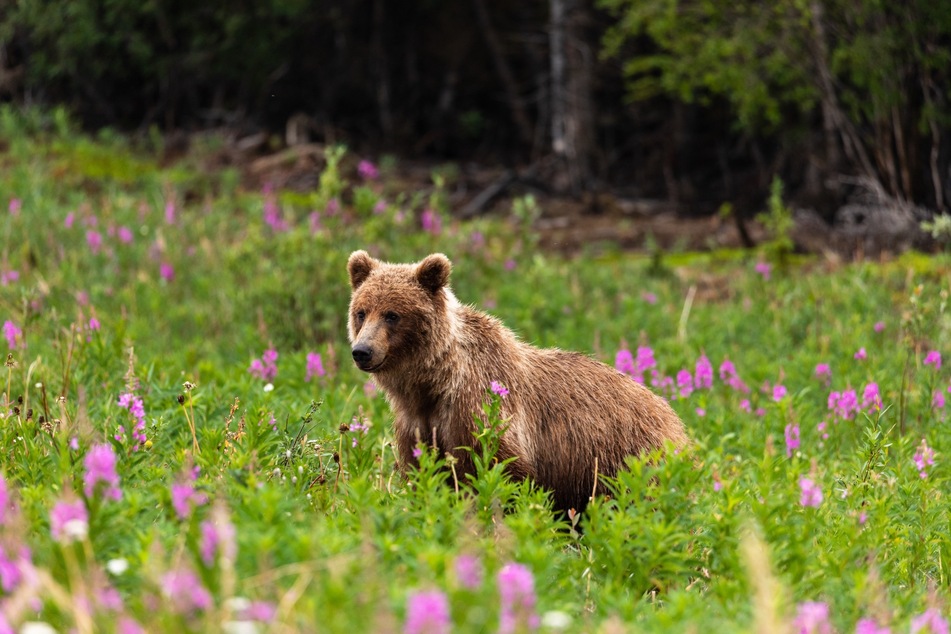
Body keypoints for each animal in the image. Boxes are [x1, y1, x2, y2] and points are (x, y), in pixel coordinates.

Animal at [346, 249, 688, 512]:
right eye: (361, 311)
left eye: (392, 314)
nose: (362, 351)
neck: (434, 382)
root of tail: (674, 418)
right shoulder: (417, 423)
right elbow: (423, 474)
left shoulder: (479, 412)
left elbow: (506, 473)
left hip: (626, 459)